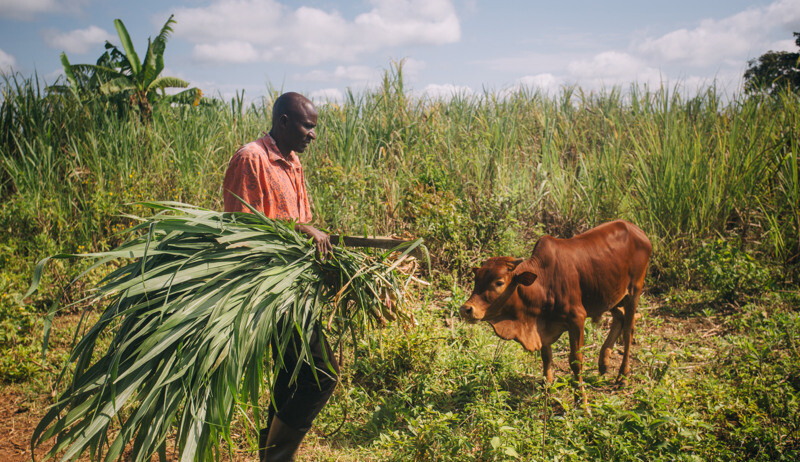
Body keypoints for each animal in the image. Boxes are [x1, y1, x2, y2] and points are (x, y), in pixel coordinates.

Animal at [462, 218, 648, 406]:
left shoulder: (577, 319)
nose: (466, 309)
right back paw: (604, 363)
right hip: (611, 296)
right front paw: (547, 387)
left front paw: (581, 399)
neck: (544, 283)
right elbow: (546, 356)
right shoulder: (542, 326)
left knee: (629, 331)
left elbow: (575, 362)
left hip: (634, 292)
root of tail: (637, 230)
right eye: (476, 280)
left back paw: (623, 376)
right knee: (620, 318)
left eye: (499, 282)